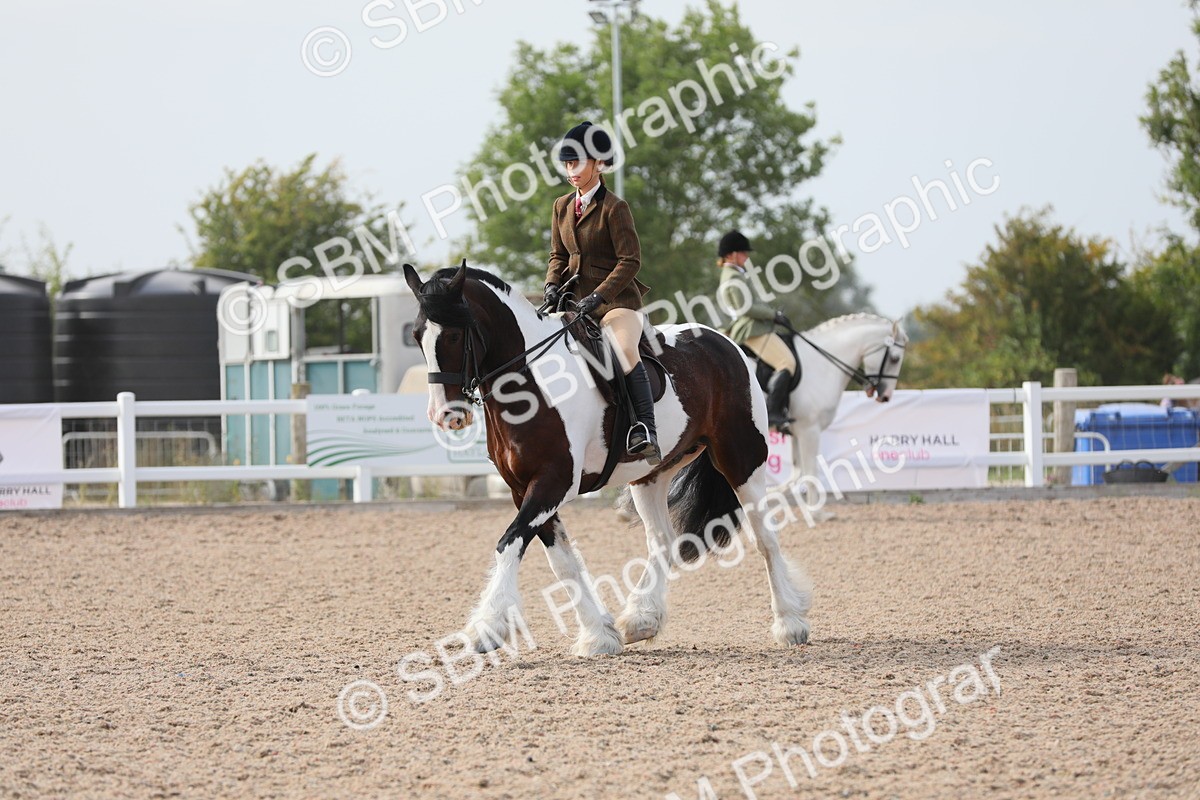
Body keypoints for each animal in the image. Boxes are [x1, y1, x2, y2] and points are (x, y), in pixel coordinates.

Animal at [403, 262, 812, 657]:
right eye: (417, 335)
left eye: (454, 335)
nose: (445, 415)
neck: (531, 384)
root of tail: (724, 342)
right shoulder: (525, 490)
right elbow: (562, 561)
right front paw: (599, 635)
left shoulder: (552, 483)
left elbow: (509, 543)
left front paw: (485, 629)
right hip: (651, 476)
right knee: (662, 540)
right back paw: (641, 620)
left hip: (742, 460)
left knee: (764, 537)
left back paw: (790, 623)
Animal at [779, 313, 909, 515]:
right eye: (895, 358)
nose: (886, 396)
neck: (819, 365)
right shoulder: (809, 430)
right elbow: (810, 471)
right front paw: (816, 513)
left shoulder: (796, 431)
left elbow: (796, 474)